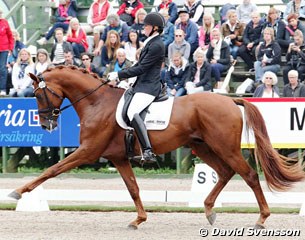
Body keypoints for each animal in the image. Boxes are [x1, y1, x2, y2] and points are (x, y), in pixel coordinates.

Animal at [8, 66, 302, 229]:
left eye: (37, 94)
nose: (45, 124)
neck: (96, 102)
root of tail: (230, 100)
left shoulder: (88, 151)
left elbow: (52, 169)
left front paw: (18, 191)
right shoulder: (119, 158)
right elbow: (133, 189)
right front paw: (138, 220)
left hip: (224, 147)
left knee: (249, 175)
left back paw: (261, 218)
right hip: (202, 147)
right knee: (226, 173)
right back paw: (209, 210)